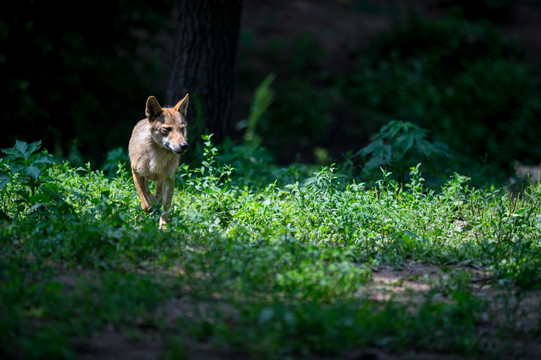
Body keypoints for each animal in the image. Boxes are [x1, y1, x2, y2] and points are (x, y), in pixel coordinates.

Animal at [127, 94, 189, 229]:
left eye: (182, 129)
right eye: (167, 129)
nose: (184, 145)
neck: (157, 157)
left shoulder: (170, 179)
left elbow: (166, 208)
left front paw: (163, 228)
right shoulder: (135, 173)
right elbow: (145, 204)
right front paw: (151, 209)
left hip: (160, 181)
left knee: (158, 194)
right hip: (144, 177)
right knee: (147, 191)